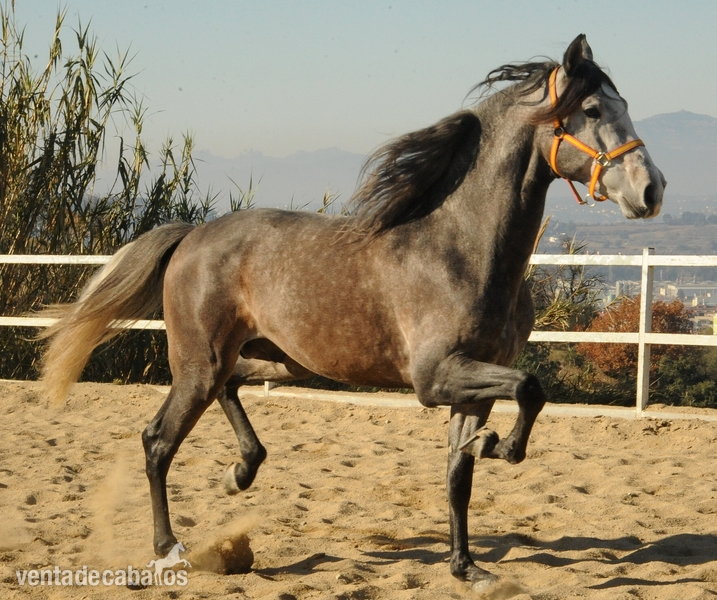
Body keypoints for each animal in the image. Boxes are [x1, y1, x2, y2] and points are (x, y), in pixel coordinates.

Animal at [39, 34, 665, 590]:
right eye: (591, 110)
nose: (651, 190)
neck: (462, 250)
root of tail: (192, 236)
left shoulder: (472, 387)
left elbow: (459, 476)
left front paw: (467, 567)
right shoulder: (436, 378)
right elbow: (531, 389)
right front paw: (500, 449)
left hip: (277, 361)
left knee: (233, 388)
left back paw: (240, 474)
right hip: (199, 364)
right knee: (157, 441)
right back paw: (170, 548)